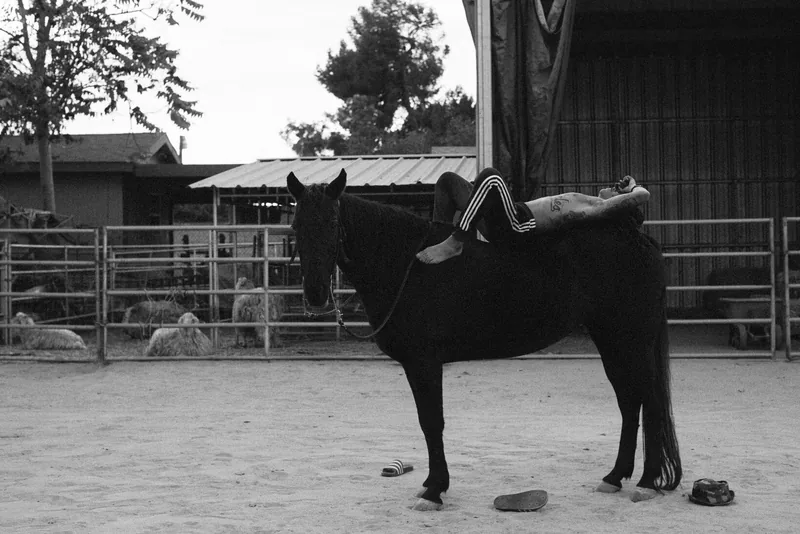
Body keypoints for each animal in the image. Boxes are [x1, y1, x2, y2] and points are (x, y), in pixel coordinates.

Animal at [286, 169, 681, 511]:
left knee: (648, 400)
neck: (406, 264)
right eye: (295, 225)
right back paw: (614, 477)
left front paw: (434, 490)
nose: (316, 294)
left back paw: (646, 482)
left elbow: (431, 422)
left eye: (333, 223)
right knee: (629, 402)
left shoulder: (423, 363)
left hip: (630, 338)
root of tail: (638, 239)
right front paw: (432, 485)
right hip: (611, 339)